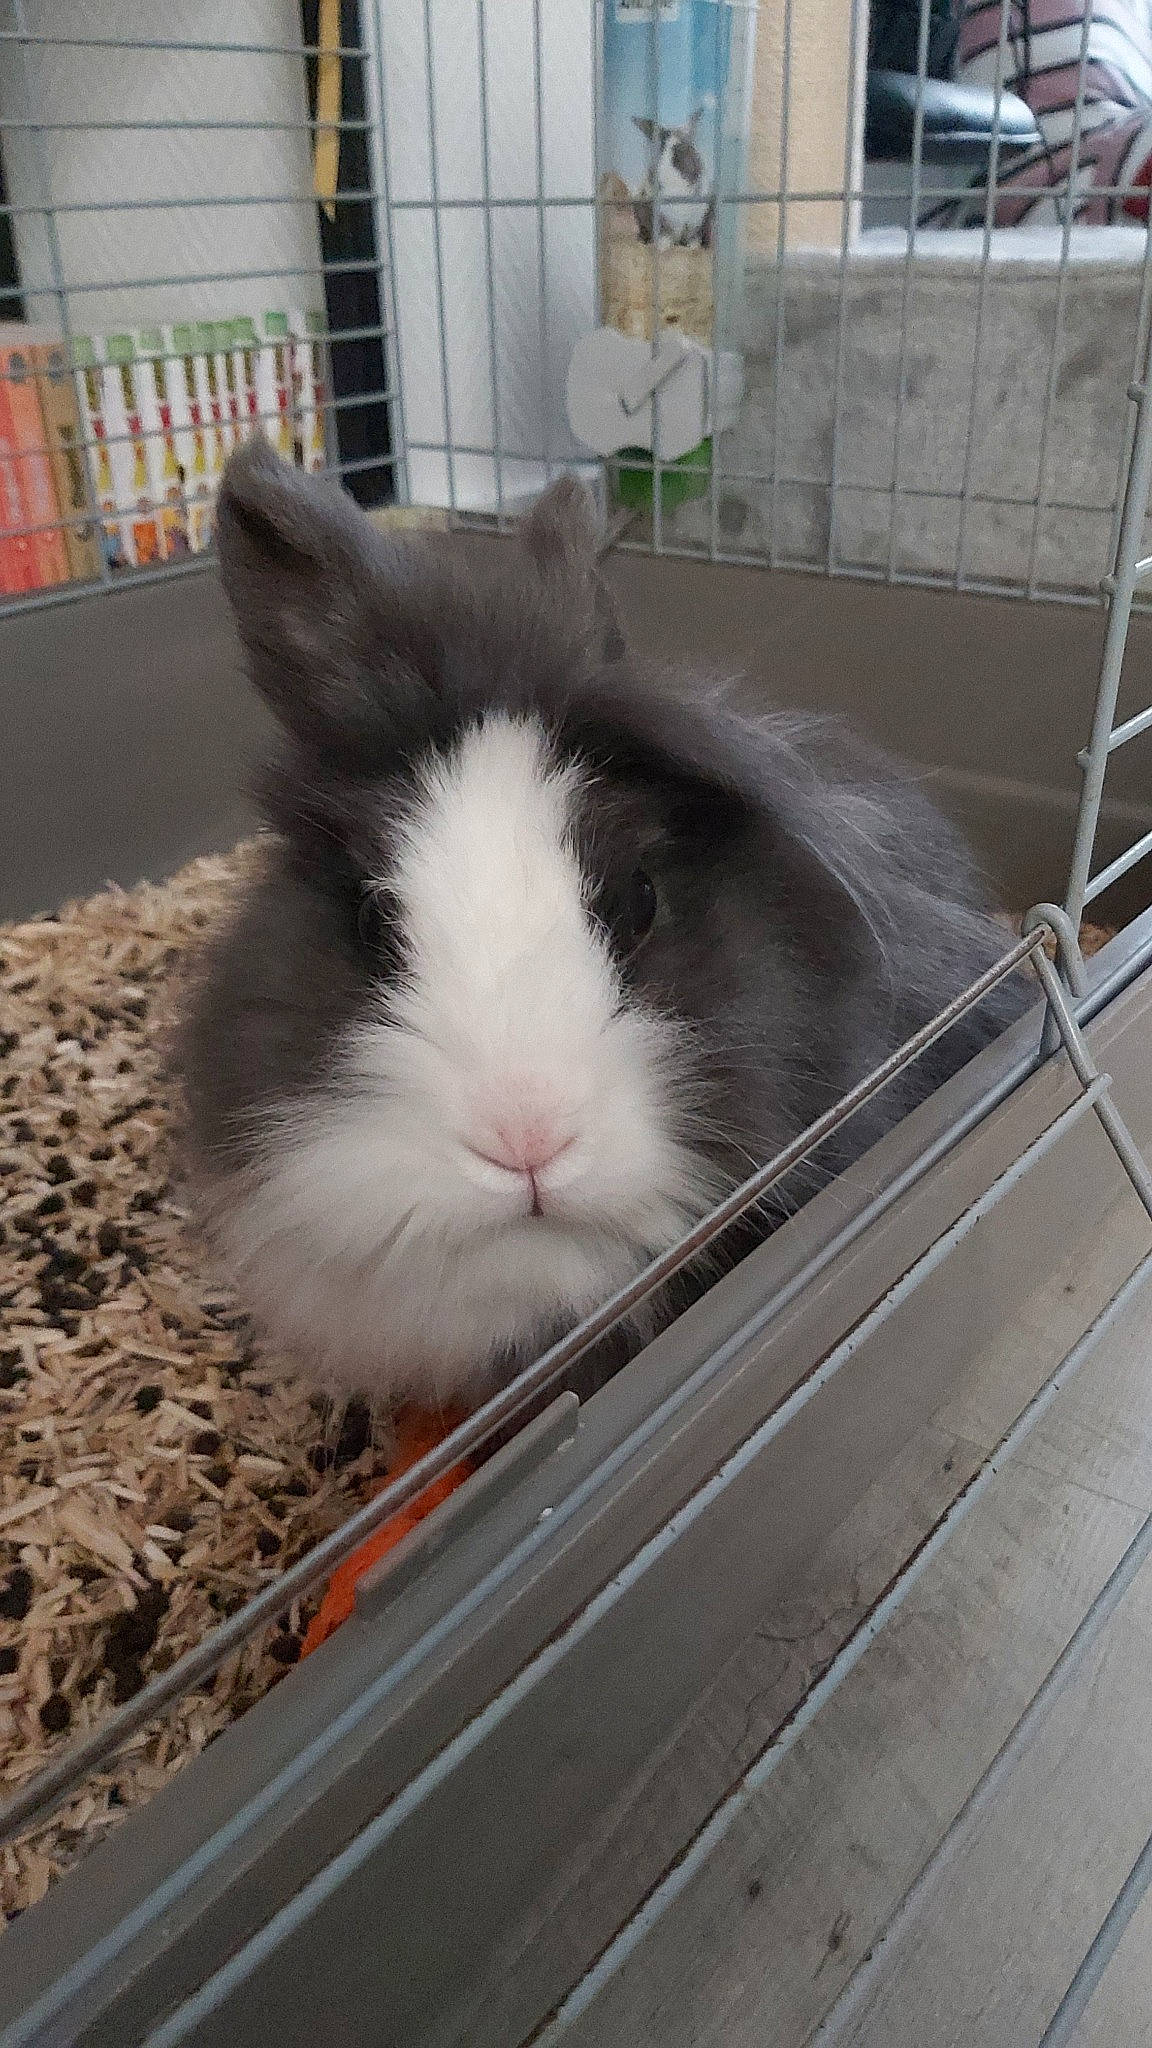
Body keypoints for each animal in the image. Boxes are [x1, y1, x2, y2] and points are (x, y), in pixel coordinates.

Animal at [633, 109, 714, 248]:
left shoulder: (695, 224)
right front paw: (662, 247)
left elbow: (694, 239)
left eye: (681, 151)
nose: (661, 179)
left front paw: (693, 247)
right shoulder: (662, 222)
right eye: (657, 155)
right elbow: (666, 236)